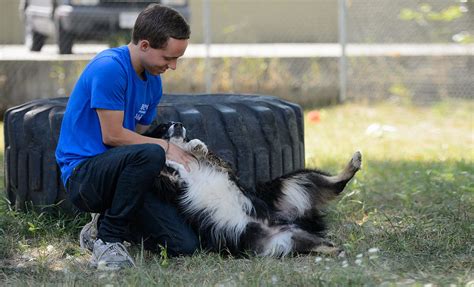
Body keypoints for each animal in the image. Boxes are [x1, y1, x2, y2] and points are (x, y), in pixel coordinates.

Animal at [146, 122, 362, 258]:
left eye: (177, 123)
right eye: (163, 126)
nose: (178, 124)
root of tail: (282, 220)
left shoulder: (224, 168)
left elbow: (206, 153)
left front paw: (196, 145)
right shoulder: (171, 184)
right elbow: (165, 164)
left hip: (294, 181)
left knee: (336, 182)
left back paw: (354, 162)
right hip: (288, 239)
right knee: (324, 245)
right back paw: (341, 253)